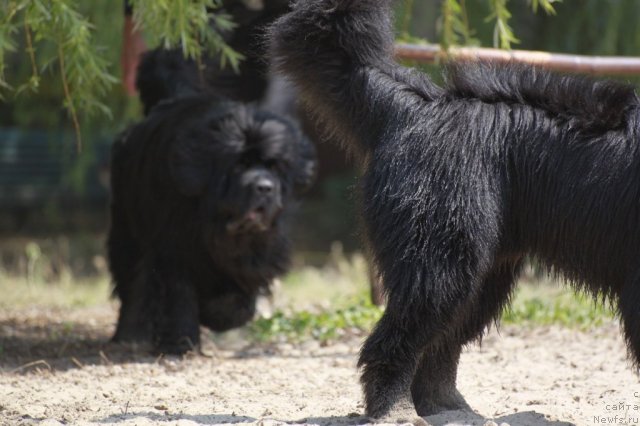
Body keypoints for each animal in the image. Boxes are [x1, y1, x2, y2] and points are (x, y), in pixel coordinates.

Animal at [108, 50, 318, 354]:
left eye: (274, 166)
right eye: (238, 165)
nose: (265, 188)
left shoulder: (257, 254)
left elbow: (240, 297)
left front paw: (218, 315)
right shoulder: (174, 247)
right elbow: (179, 294)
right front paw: (182, 343)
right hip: (127, 229)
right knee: (131, 278)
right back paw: (129, 334)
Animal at [268, 0, 640, 422]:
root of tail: (418, 104)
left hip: (482, 265)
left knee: (444, 338)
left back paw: (449, 407)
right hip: (440, 248)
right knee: (406, 330)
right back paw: (396, 410)